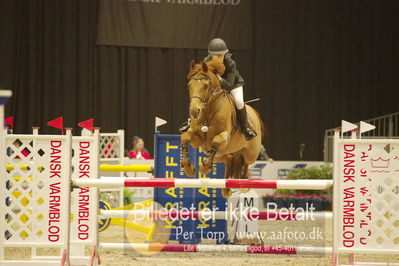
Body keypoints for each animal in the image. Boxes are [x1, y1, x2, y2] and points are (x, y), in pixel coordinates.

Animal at [180, 60, 264, 197]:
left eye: (206, 86)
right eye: (189, 86)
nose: (194, 111)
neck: (208, 112)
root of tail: (254, 113)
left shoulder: (224, 136)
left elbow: (216, 141)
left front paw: (204, 168)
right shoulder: (198, 139)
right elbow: (185, 138)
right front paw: (188, 168)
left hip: (251, 152)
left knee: (246, 161)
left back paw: (244, 184)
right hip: (221, 155)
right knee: (229, 160)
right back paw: (226, 189)